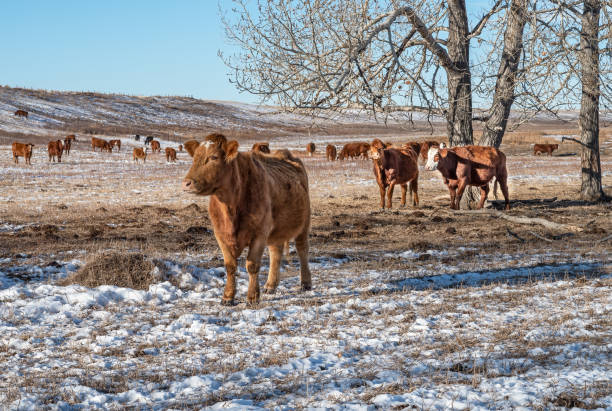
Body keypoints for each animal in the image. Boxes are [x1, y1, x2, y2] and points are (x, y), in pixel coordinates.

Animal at [182, 133, 310, 306]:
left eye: (214, 157)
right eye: (195, 157)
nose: (186, 183)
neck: (230, 208)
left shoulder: (259, 233)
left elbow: (252, 265)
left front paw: (252, 297)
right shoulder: (220, 234)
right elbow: (230, 266)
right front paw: (227, 296)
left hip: (304, 223)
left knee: (302, 250)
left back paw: (306, 283)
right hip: (275, 230)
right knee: (275, 252)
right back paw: (270, 285)